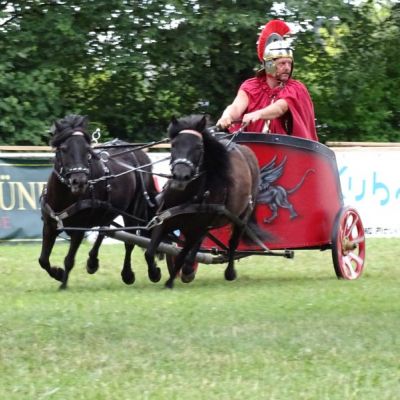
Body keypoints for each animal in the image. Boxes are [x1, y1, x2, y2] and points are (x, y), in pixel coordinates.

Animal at [38, 114, 158, 290]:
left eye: (87, 150)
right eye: (64, 148)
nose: (79, 182)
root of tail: (140, 156)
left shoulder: (79, 230)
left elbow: (69, 260)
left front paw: (63, 283)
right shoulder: (50, 225)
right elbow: (43, 260)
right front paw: (58, 274)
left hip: (133, 210)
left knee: (131, 241)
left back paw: (135, 273)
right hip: (107, 209)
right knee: (104, 230)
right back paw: (92, 261)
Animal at [145, 113, 268, 288]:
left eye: (199, 147)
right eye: (174, 145)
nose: (180, 176)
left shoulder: (195, 229)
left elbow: (181, 255)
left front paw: (169, 282)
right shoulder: (164, 219)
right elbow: (150, 252)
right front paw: (155, 273)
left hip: (242, 217)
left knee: (233, 243)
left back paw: (229, 272)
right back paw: (189, 270)